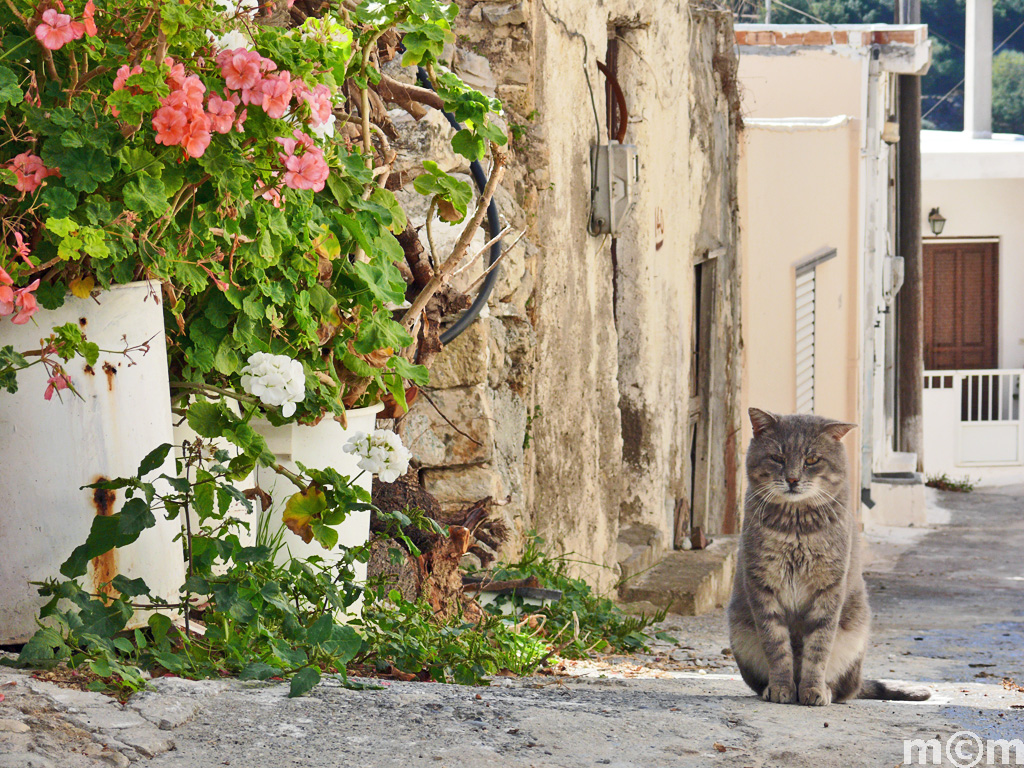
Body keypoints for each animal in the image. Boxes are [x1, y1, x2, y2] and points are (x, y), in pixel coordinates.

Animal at [729, 409, 929, 708]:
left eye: (812, 460)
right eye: (777, 458)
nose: (792, 479)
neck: (796, 527)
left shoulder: (829, 589)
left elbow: (818, 648)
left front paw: (813, 689)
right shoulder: (762, 586)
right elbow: (776, 646)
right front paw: (781, 687)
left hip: (854, 637)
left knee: (845, 690)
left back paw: (825, 689)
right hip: (740, 634)